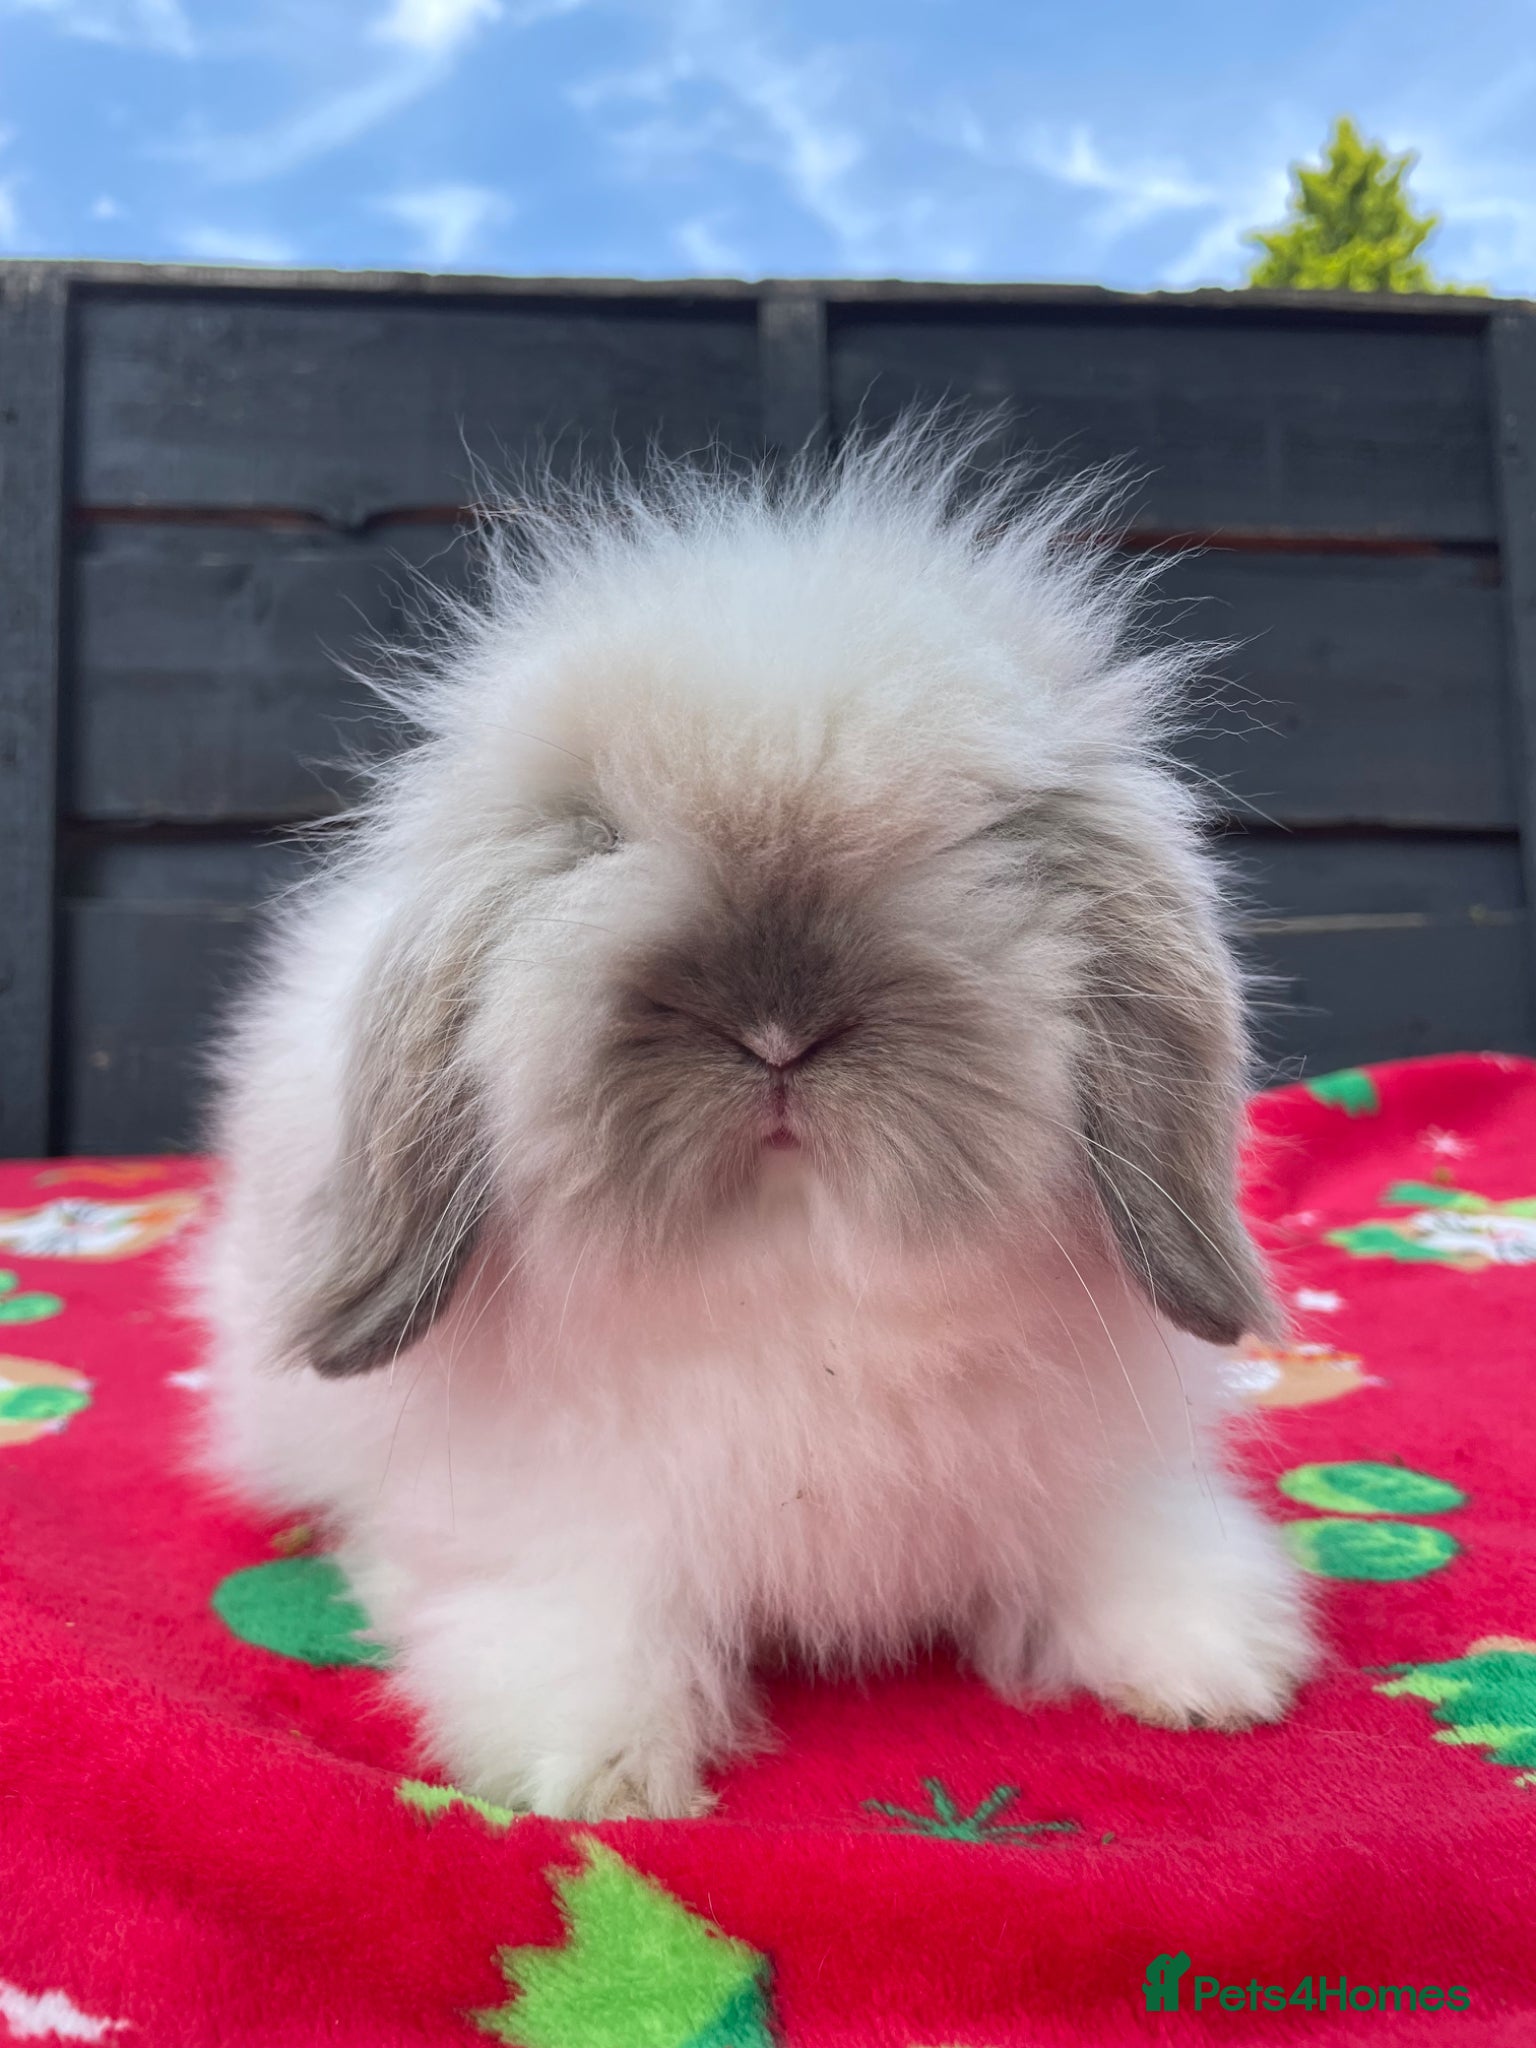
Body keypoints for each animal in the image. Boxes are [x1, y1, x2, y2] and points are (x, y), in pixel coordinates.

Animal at [193, 420, 1318, 1820]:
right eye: (598, 837)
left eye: (973, 839)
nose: (779, 1027)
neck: (798, 1269)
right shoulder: (564, 1522)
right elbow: (581, 1622)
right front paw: (598, 1772)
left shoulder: (1094, 1466)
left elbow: (1129, 1549)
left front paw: (1214, 1670)